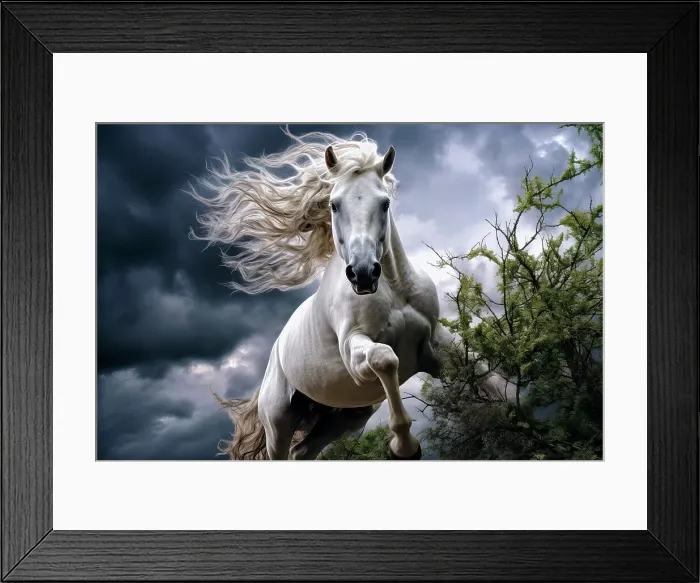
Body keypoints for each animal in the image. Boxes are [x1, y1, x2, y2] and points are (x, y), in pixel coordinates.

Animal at [187, 127, 456, 460]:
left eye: (384, 203)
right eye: (334, 204)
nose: (363, 273)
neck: (394, 290)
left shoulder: (438, 344)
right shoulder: (355, 351)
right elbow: (384, 358)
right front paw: (403, 447)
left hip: (345, 417)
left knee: (301, 452)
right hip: (279, 424)